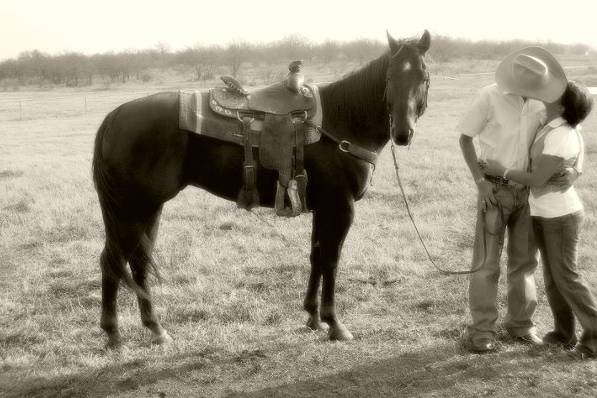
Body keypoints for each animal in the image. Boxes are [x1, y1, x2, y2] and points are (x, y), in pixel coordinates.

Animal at [92, 31, 428, 348]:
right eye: (390, 77)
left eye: (422, 76)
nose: (403, 132)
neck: (341, 120)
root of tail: (114, 117)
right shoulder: (340, 207)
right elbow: (331, 261)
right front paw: (334, 324)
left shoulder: (322, 208)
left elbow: (316, 257)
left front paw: (313, 317)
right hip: (132, 211)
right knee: (113, 261)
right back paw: (114, 334)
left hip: (147, 210)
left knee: (137, 263)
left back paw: (155, 330)